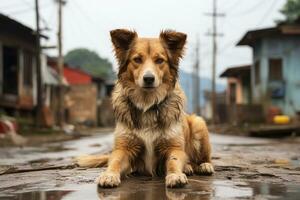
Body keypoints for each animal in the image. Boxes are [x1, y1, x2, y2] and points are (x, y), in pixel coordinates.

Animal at [76, 28, 214, 188]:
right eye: (137, 59)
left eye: (160, 60)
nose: (149, 78)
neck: (147, 104)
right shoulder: (124, 147)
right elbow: (115, 160)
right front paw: (109, 175)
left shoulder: (174, 147)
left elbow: (173, 161)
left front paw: (175, 175)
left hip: (199, 123)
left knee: (202, 158)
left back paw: (202, 165)